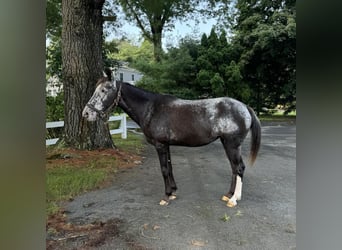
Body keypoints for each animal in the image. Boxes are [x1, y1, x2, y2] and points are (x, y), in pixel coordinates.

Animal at [81, 68, 260, 207]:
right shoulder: (166, 145)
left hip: (232, 144)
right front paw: (173, 191)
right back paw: (229, 194)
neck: (151, 109)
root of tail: (245, 107)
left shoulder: (160, 145)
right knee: (234, 168)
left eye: (103, 90)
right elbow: (170, 167)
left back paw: (234, 200)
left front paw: (166, 196)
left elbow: (164, 169)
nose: (86, 113)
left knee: (239, 168)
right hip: (227, 143)